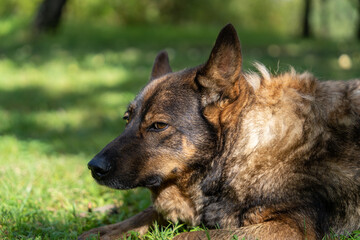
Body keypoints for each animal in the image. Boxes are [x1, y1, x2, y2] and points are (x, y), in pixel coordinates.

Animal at [79, 23, 360, 239]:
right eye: (126, 119)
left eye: (158, 125)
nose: (94, 167)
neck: (241, 150)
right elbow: (139, 216)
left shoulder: (289, 226)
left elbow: (187, 236)